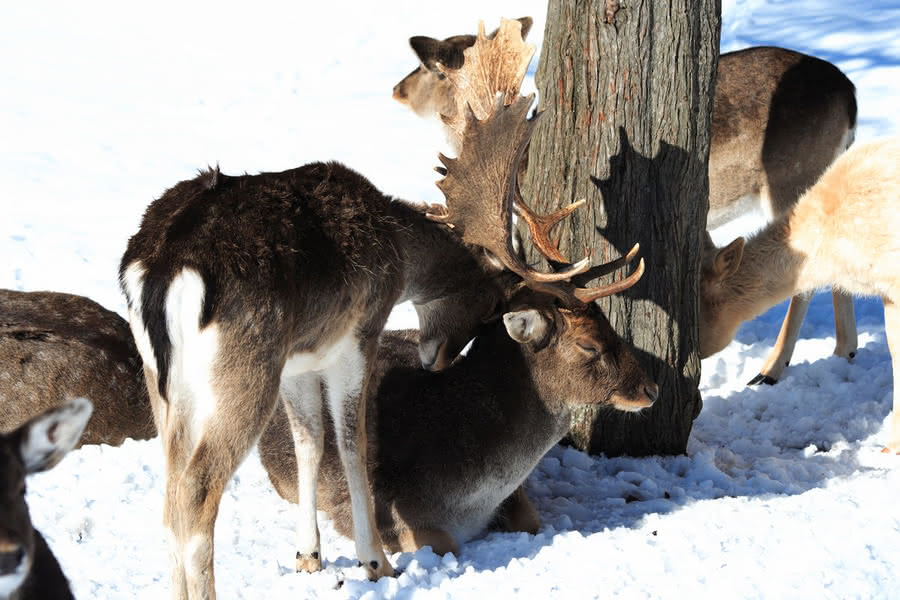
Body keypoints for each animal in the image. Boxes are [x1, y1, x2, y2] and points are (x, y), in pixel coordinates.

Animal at [256, 94, 656, 556]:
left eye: (609, 323)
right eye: (588, 345)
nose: (651, 389)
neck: (468, 493)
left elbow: (530, 518)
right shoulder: (360, 506)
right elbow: (442, 542)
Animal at [392, 18, 856, 386]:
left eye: (428, 67)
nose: (398, 89)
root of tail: (850, 97)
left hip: (791, 176)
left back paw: (770, 370)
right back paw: (844, 350)